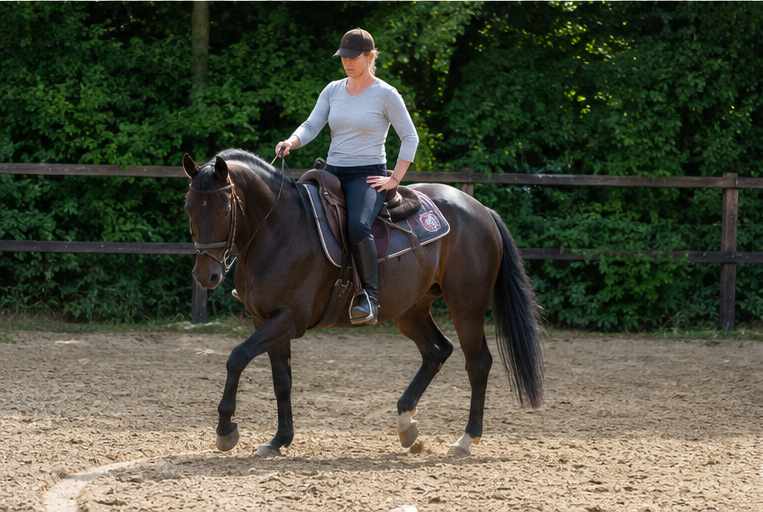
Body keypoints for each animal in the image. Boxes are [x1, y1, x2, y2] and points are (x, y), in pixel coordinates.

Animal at [182, 148, 543, 457]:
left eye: (224, 207)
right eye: (189, 207)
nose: (206, 275)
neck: (279, 230)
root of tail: (480, 210)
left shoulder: (288, 319)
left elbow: (237, 358)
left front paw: (226, 430)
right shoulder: (267, 320)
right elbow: (281, 379)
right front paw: (279, 440)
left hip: (465, 307)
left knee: (477, 362)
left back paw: (466, 439)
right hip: (410, 311)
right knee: (436, 351)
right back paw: (407, 426)